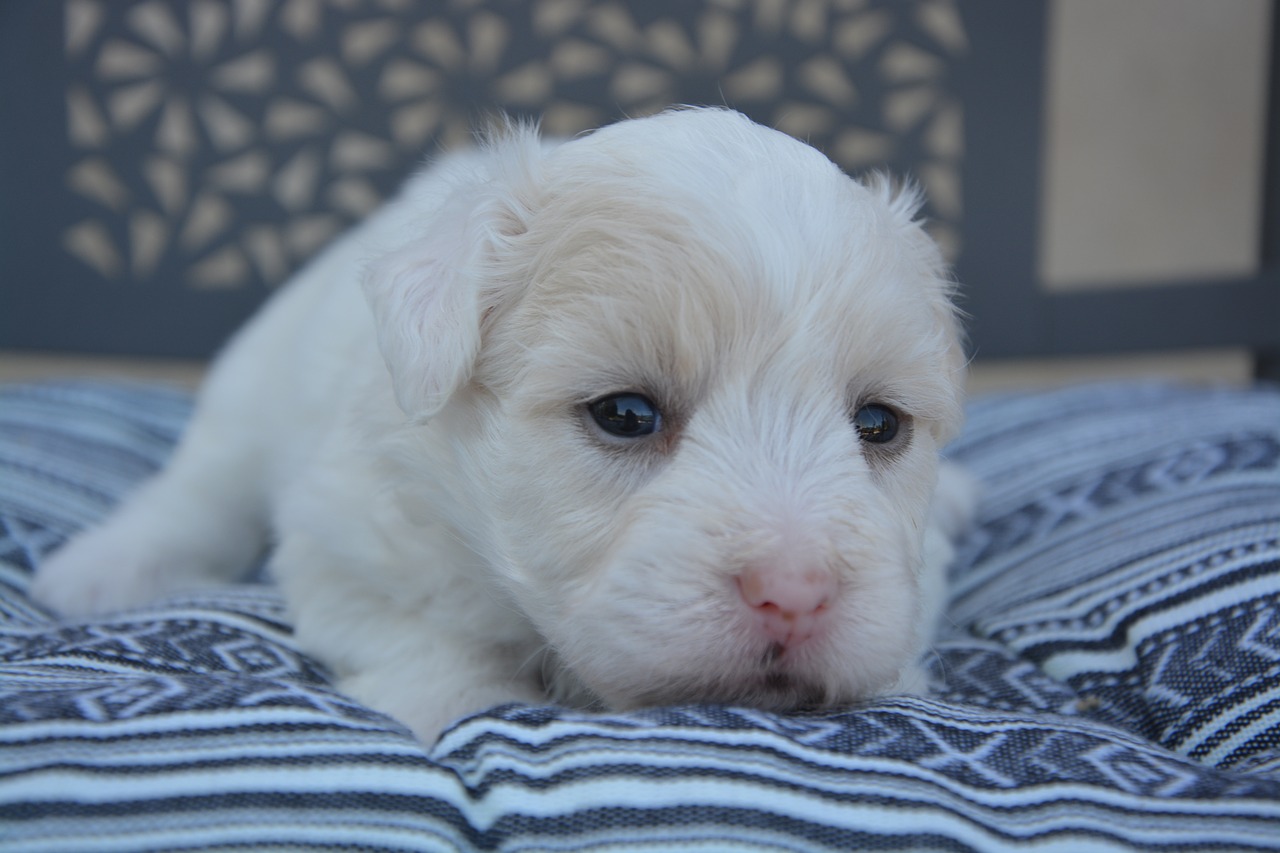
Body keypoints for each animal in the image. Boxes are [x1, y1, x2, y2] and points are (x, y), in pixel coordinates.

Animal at [32, 106, 967, 742]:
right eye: (625, 414)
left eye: (878, 424)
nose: (796, 590)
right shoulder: (351, 537)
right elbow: (434, 639)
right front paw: (451, 700)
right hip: (251, 391)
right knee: (198, 492)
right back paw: (98, 572)